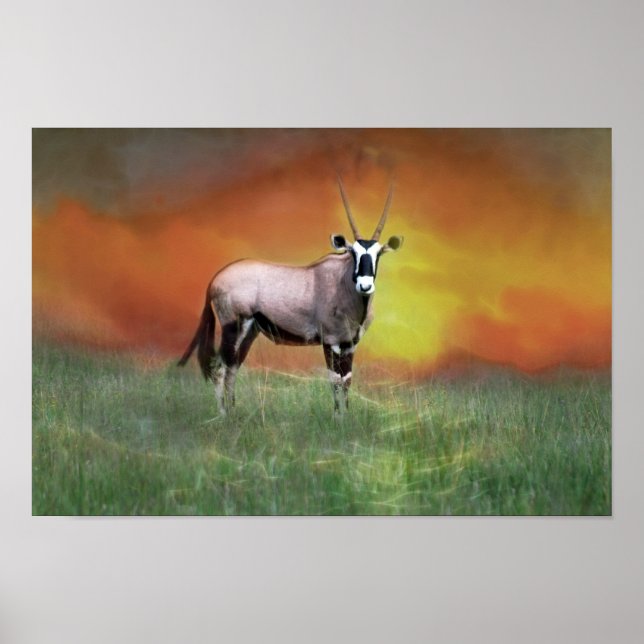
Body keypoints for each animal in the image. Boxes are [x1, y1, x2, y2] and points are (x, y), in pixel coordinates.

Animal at [178, 179, 403, 415]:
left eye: (378, 254)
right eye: (353, 252)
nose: (365, 285)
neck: (343, 283)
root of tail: (215, 280)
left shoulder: (350, 343)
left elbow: (347, 380)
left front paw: (346, 416)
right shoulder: (331, 341)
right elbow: (335, 381)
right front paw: (338, 418)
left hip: (249, 333)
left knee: (232, 370)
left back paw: (234, 413)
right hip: (234, 327)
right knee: (220, 370)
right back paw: (224, 416)